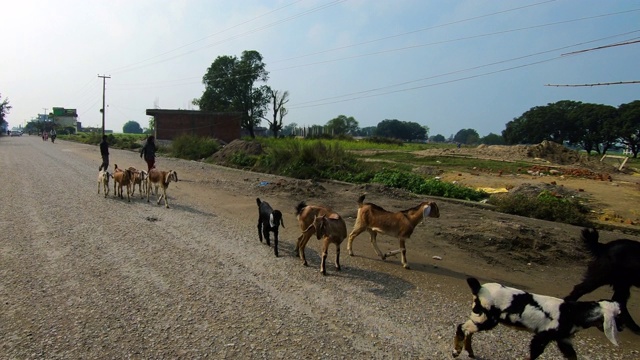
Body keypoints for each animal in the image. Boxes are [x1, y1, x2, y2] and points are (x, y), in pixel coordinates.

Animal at [456, 278, 620, 358]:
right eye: (619, 316)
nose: (622, 328)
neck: (572, 312)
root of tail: (479, 288)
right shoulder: (543, 335)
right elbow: (535, 352)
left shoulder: (563, 339)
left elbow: (572, 355)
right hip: (486, 318)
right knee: (462, 327)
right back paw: (456, 351)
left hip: (481, 317)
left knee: (468, 329)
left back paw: (469, 352)